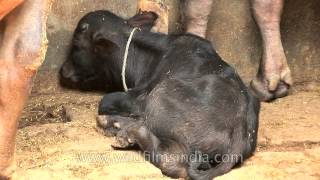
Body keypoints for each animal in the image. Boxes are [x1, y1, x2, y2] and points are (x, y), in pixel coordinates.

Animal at [59, 10, 260, 179]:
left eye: (76, 45)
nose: (62, 71)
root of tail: (241, 129)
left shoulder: (136, 98)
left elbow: (105, 100)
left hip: (160, 95)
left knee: (173, 162)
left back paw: (123, 130)